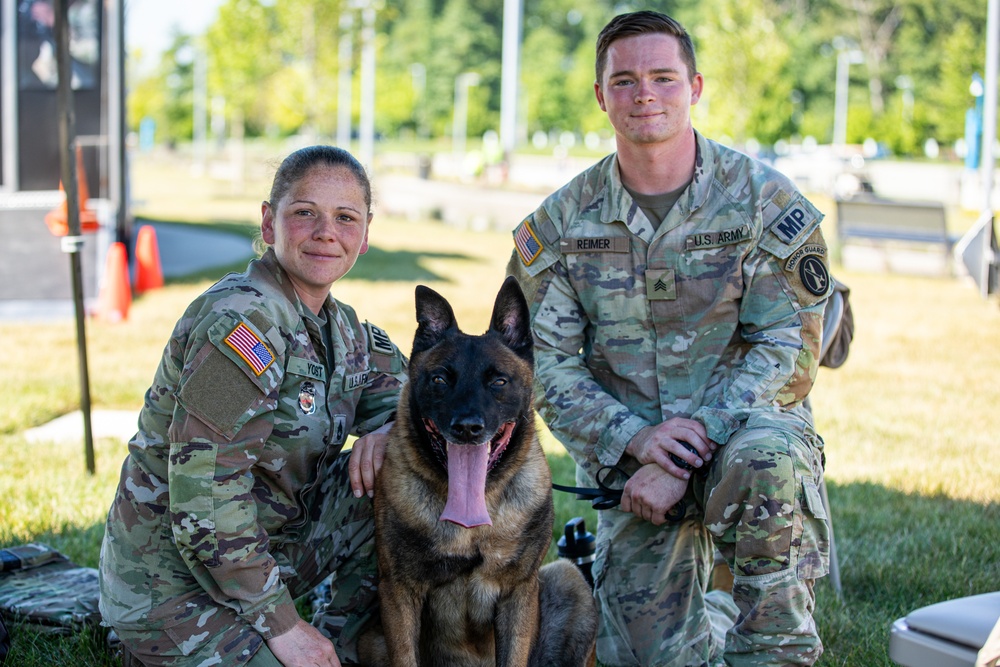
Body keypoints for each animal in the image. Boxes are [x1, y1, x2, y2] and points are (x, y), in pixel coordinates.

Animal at [358, 276, 592, 667]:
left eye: (498, 382)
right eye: (440, 380)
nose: (467, 428)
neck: (473, 518)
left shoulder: (518, 592)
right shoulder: (398, 593)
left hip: (568, 578)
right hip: (371, 637)